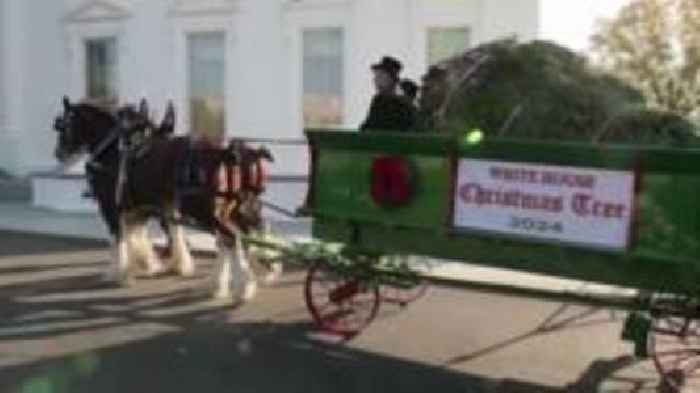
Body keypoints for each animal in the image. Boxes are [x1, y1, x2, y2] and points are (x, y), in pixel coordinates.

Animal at [51, 97, 274, 300]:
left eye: (63, 126)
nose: (58, 153)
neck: (115, 150)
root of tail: (225, 152)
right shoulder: (144, 206)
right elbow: (141, 234)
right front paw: (149, 263)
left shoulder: (111, 206)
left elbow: (119, 238)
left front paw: (119, 272)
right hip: (230, 207)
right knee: (239, 236)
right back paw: (227, 281)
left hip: (204, 210)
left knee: (231, 239)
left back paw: (241, 286)